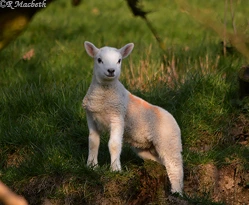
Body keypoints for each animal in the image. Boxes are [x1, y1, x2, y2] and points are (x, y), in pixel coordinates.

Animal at [82, 41, 184, 194]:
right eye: (99, 60)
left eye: (119, 60)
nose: (111, 71)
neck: (104, 95)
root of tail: (172, 118)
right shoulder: (91, 118)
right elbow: (93, 142)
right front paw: (91, 166)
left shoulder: (118, 117)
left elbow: (114, 144)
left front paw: (115, 169)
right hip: (146, 149)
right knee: (162, 162)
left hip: (169, 140)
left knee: (175, 166)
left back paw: (177, 192)